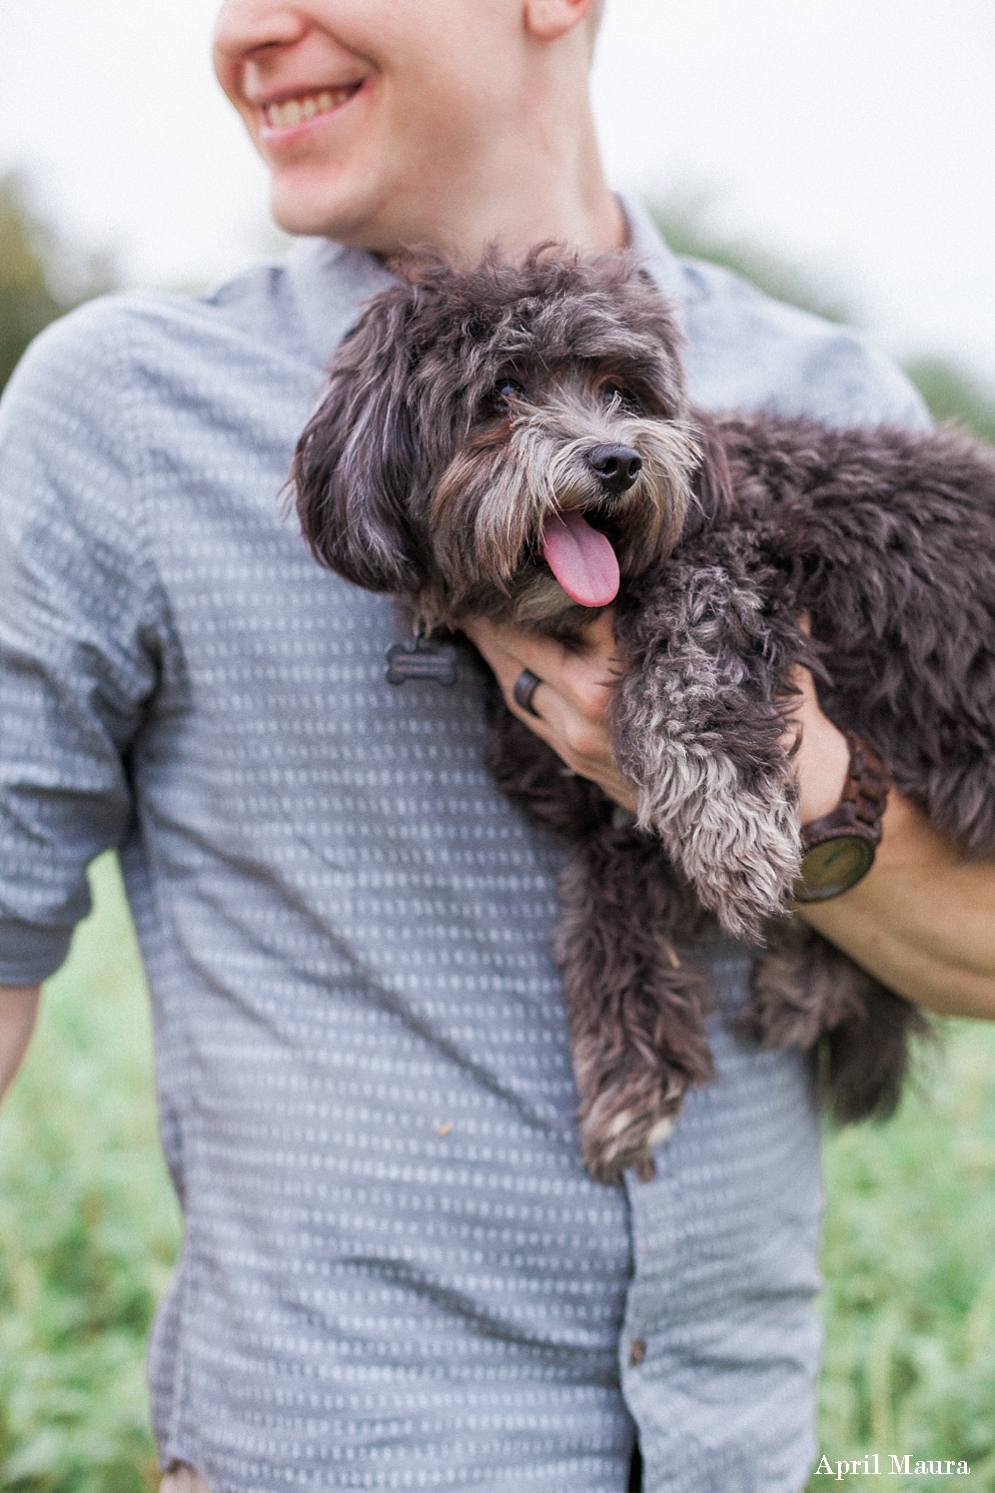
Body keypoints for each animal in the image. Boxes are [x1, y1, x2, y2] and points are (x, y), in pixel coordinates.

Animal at [291, 253, 992, 1188]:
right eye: (503, 389)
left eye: (618, 390)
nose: (618, 459)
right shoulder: (607, 824)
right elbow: (608, 922)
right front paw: (631, 1080)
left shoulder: (733, 559)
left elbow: (692, 664)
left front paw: (729, 826)